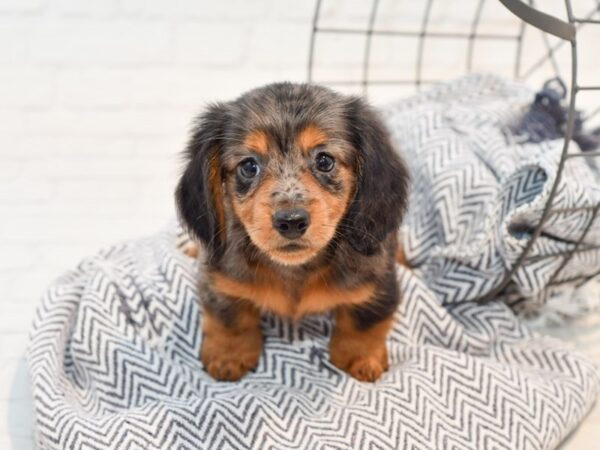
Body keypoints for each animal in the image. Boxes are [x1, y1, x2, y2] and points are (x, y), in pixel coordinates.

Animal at [173, 81, 408, 384]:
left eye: (324, 160)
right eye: (249, 166)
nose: (291, 222)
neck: (295, 272)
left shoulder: (378, 281)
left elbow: (365, 319)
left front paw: (360, 356)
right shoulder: (217, 277)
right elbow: (230, 315)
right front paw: (229, 355)